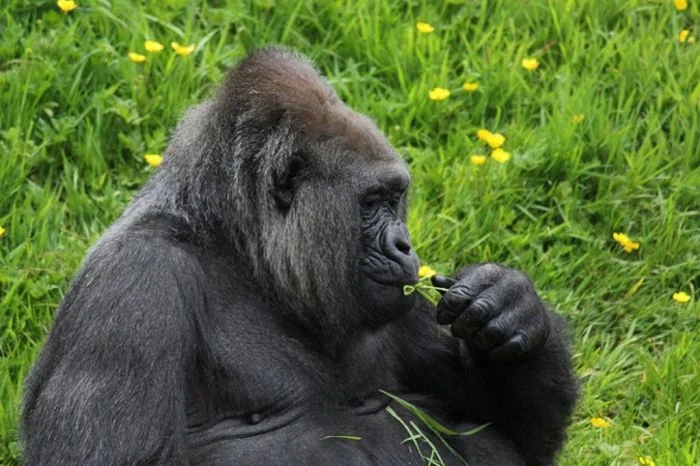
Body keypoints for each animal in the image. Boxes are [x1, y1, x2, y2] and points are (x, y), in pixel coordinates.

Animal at [23, 48, 580, 466]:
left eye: (396, 198)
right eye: (372, 203)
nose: (404, 246)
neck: (243, 251)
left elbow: (507, 430)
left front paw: (510, 304)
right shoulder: (134, 281)